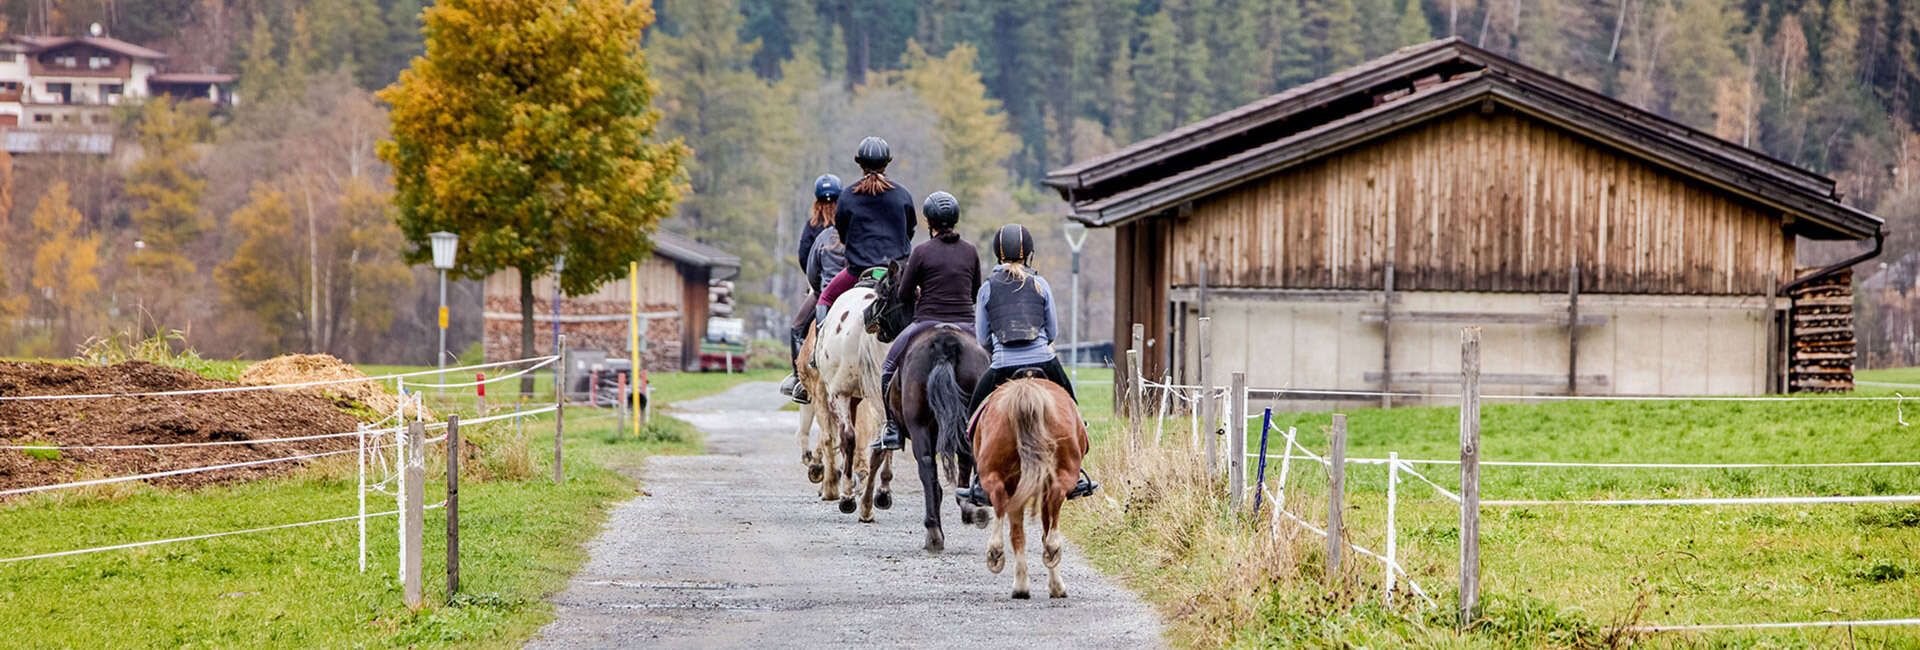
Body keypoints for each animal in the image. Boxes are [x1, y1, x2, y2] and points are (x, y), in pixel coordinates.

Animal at [967, 377, 1090, 602]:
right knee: (1054, 506)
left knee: (1001, 502)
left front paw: (1022, 586)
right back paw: (1052, 550)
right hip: (1058, 476)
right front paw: (1054, 586)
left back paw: (996, 553)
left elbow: (1018, 535)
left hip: (999, 476)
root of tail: (1027, 390)